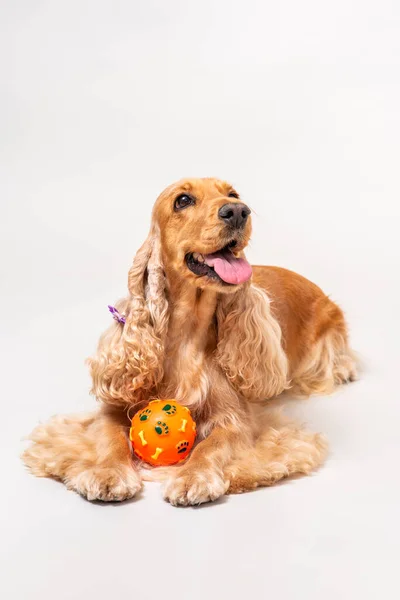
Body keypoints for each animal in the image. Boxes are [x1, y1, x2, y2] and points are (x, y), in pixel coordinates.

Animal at [23, 177, 358, 506]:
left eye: (233, 194)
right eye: (183, 200)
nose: (238, 212)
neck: (188, 332)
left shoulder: (236, 419)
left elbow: (212, 446)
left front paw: (193, 477)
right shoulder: (112, 409)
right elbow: (110, 438)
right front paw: (108, 473)